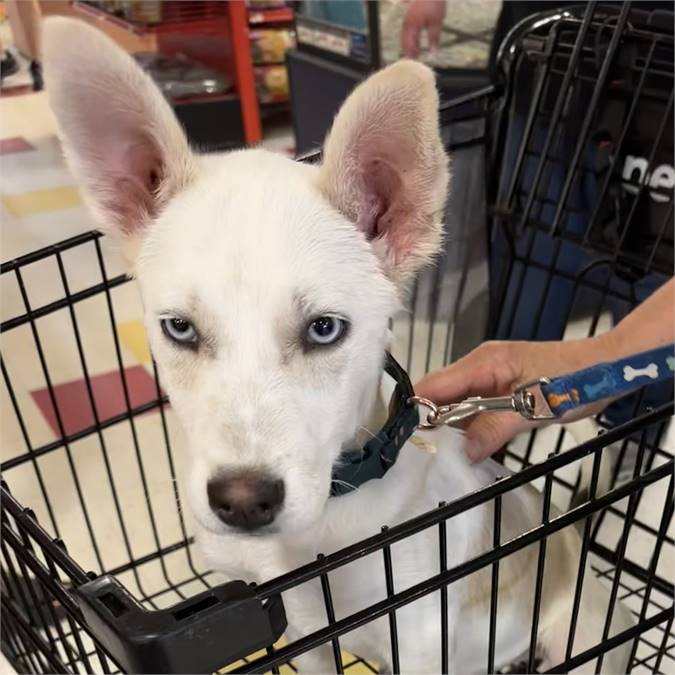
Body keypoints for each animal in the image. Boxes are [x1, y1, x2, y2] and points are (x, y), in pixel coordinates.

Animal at [45, 18, 636, 672]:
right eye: (179, 328)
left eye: (324, 329)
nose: (243, 502)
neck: (327, 535)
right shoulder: (309, 636)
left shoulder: (423, 638)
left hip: (586, 638)